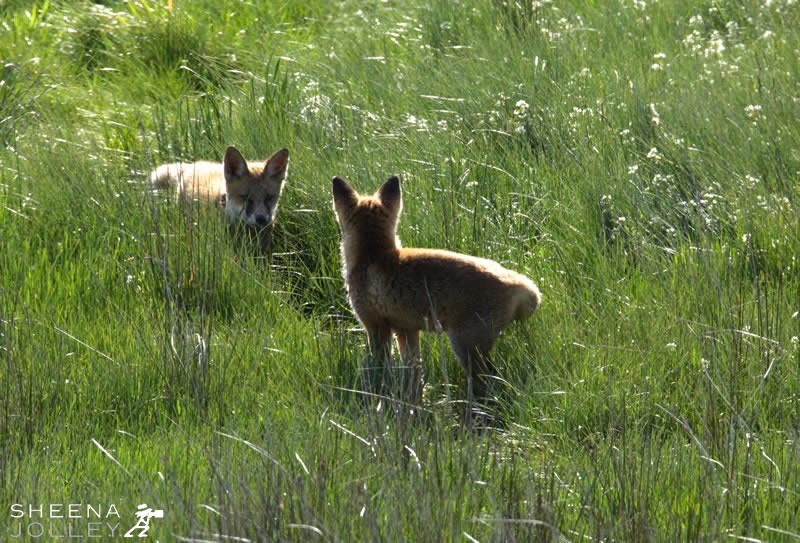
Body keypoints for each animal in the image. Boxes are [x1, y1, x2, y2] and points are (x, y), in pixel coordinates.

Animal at [332, 174, 541, 405]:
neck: (373, 255)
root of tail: (520, 283)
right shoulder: (406, 330)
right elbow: (414, 372)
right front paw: (414, 402)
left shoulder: (376, 327)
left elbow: (378, 369)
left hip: (465, 347)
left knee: (491, 383)